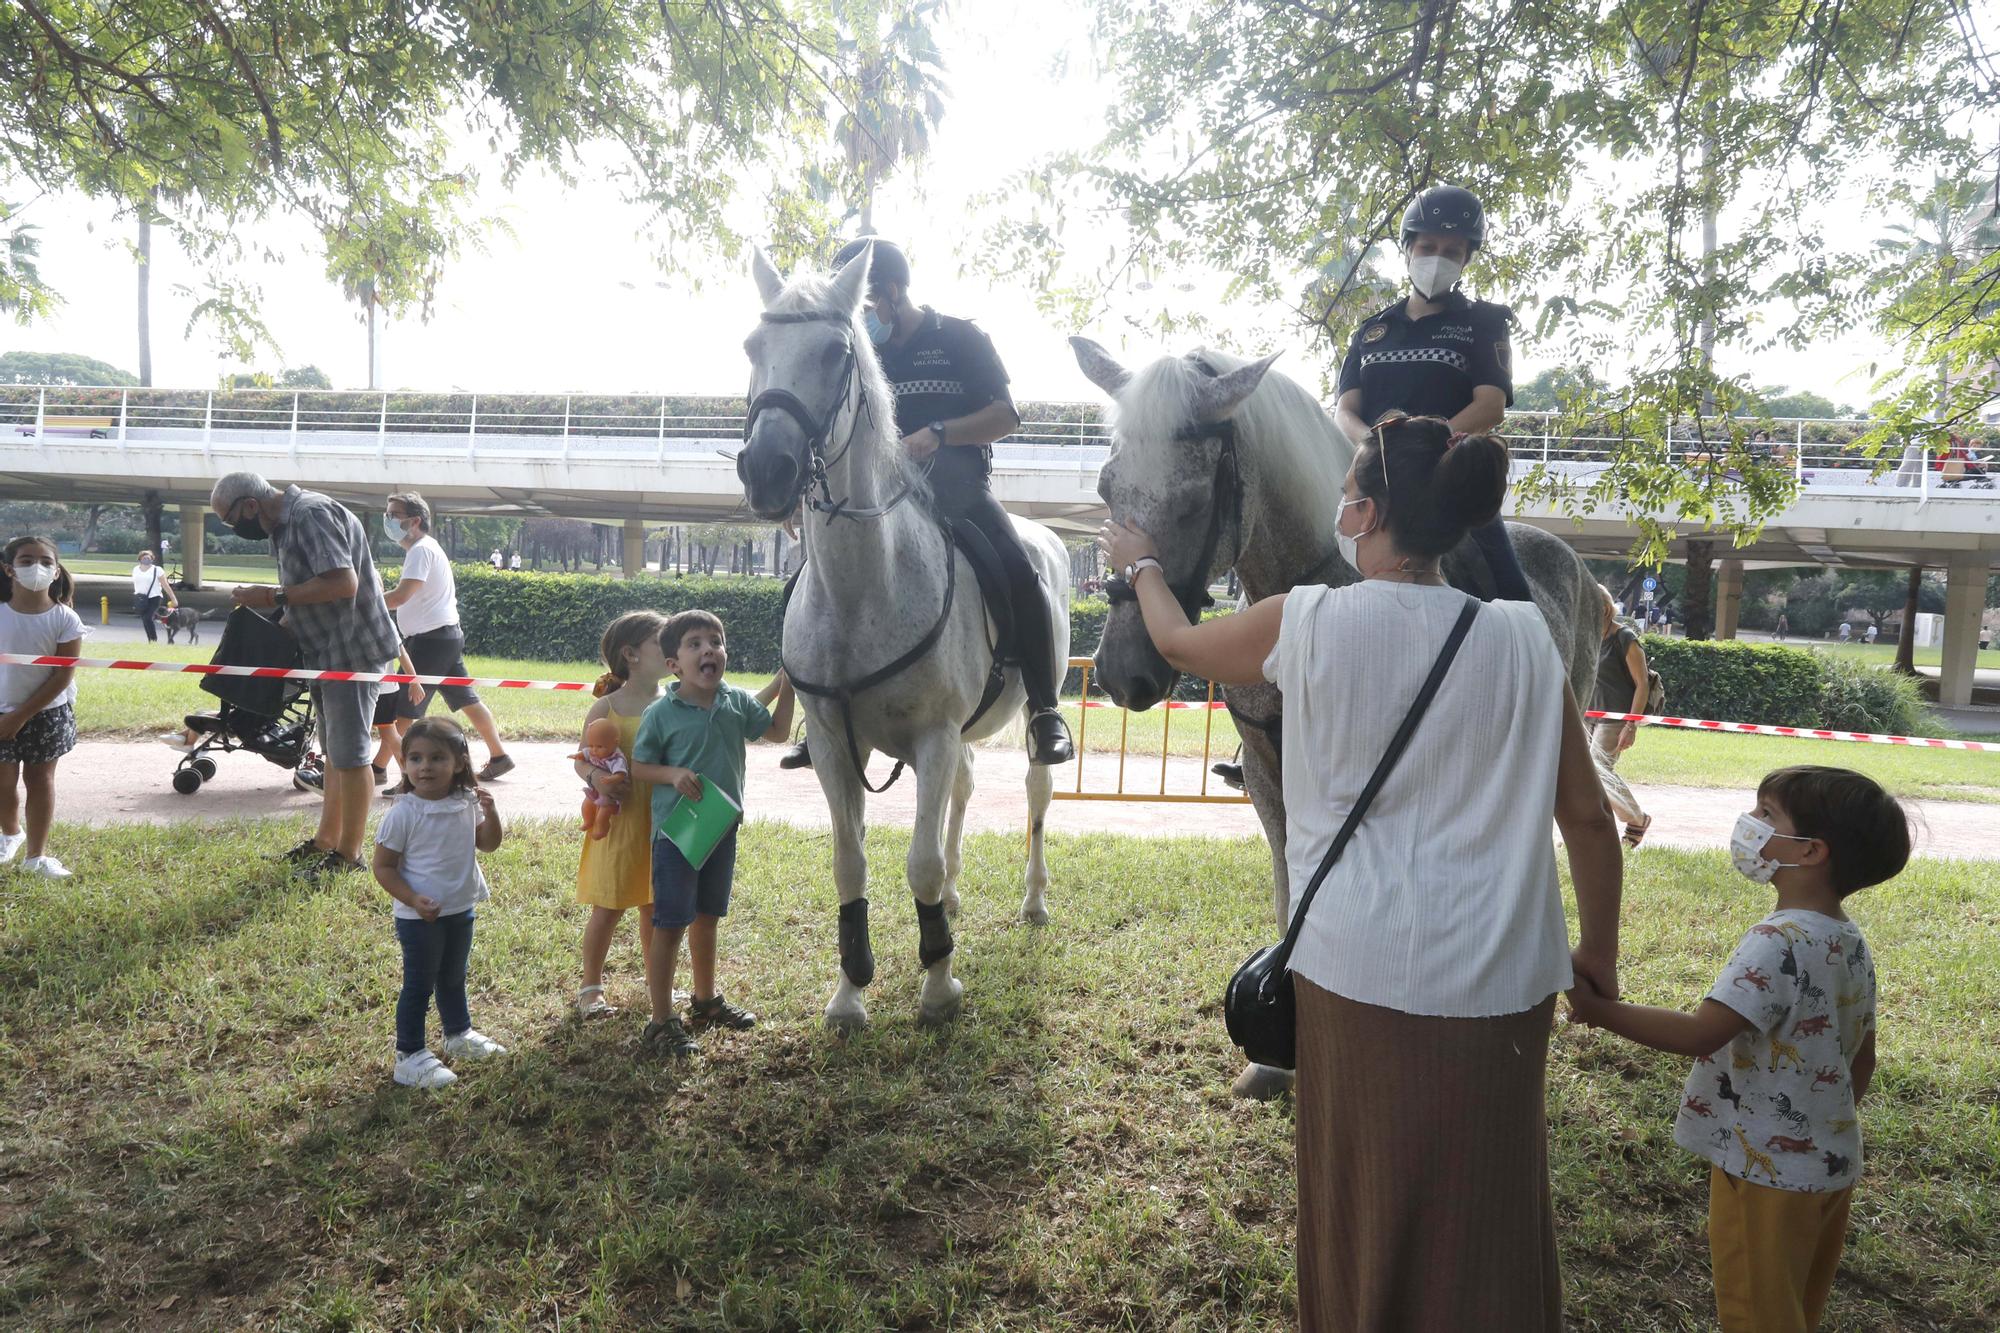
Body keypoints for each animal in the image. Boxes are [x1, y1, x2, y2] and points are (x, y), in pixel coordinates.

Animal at [736, 244, 1072, 1024]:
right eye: (752, 348)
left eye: (835, 352)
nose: (766, 470)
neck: (865, 589)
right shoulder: (837, 743)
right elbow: (849, 861)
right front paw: (849, 989)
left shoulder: (935, 735)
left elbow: (916, 861)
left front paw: (939, 980)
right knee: (963, 793)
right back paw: (953, 893)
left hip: (1026, 720)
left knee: (1036, 794)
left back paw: (1033, 899)